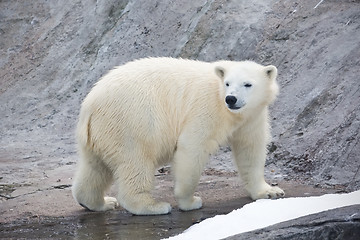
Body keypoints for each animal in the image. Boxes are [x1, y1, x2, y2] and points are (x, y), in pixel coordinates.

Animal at [72, 57, 284, 215]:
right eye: (227, 83)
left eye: (248, 84)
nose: (231, 98)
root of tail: (89, 105)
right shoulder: (206, 108)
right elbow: (192, 147)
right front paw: (190, 201)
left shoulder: (251, 117)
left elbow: (250, 150)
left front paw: (270, 191)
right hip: (131, 121)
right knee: (136, 161)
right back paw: (152, 206)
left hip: (102, 131)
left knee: (95, 167)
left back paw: (100, 202)